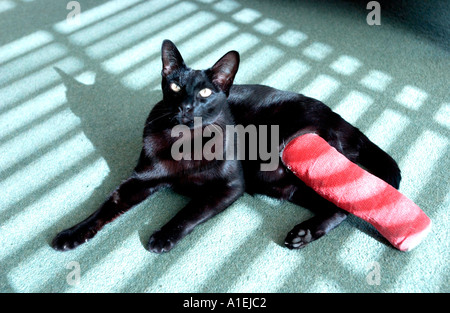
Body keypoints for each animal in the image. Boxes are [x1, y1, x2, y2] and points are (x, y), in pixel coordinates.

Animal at [51, 39, 400, 254]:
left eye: (205, 92)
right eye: (174, 86)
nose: (186, 107)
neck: (186, 143)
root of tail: (339, 117)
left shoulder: (230, 186)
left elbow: (189, 211)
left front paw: (163, 236)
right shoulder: (139, 181)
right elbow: (104, 206)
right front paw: (71, 233)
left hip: (279, 164)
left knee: (347, 201)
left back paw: (304, 232)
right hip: (281, 184)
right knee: (338, 204)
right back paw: (305, 233)